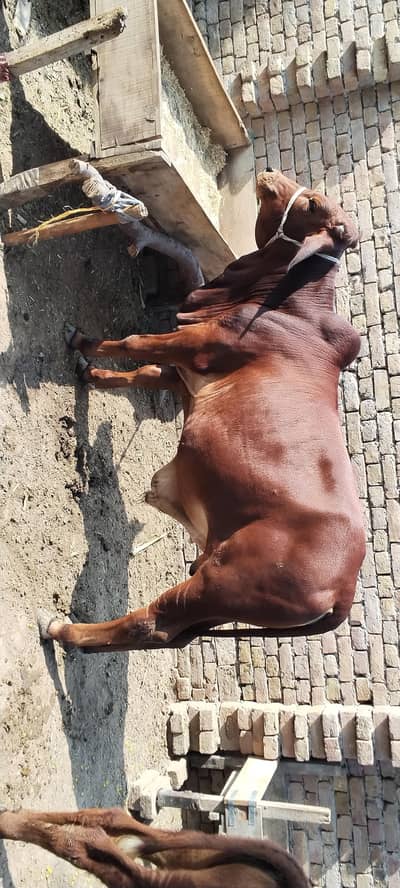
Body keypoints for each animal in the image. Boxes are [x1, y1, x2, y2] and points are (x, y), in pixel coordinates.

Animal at [38, 169, 365, 652]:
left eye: (311, 204)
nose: (268, 173)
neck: (287, 304)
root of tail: (344, 590)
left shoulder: (193, 345)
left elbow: (134, 342)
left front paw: (82, 342)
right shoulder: (184, 373)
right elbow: (143, 372)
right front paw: (92, 375)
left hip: (218, 585)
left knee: (150, 624)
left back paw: (63, 629)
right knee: (168, 633)